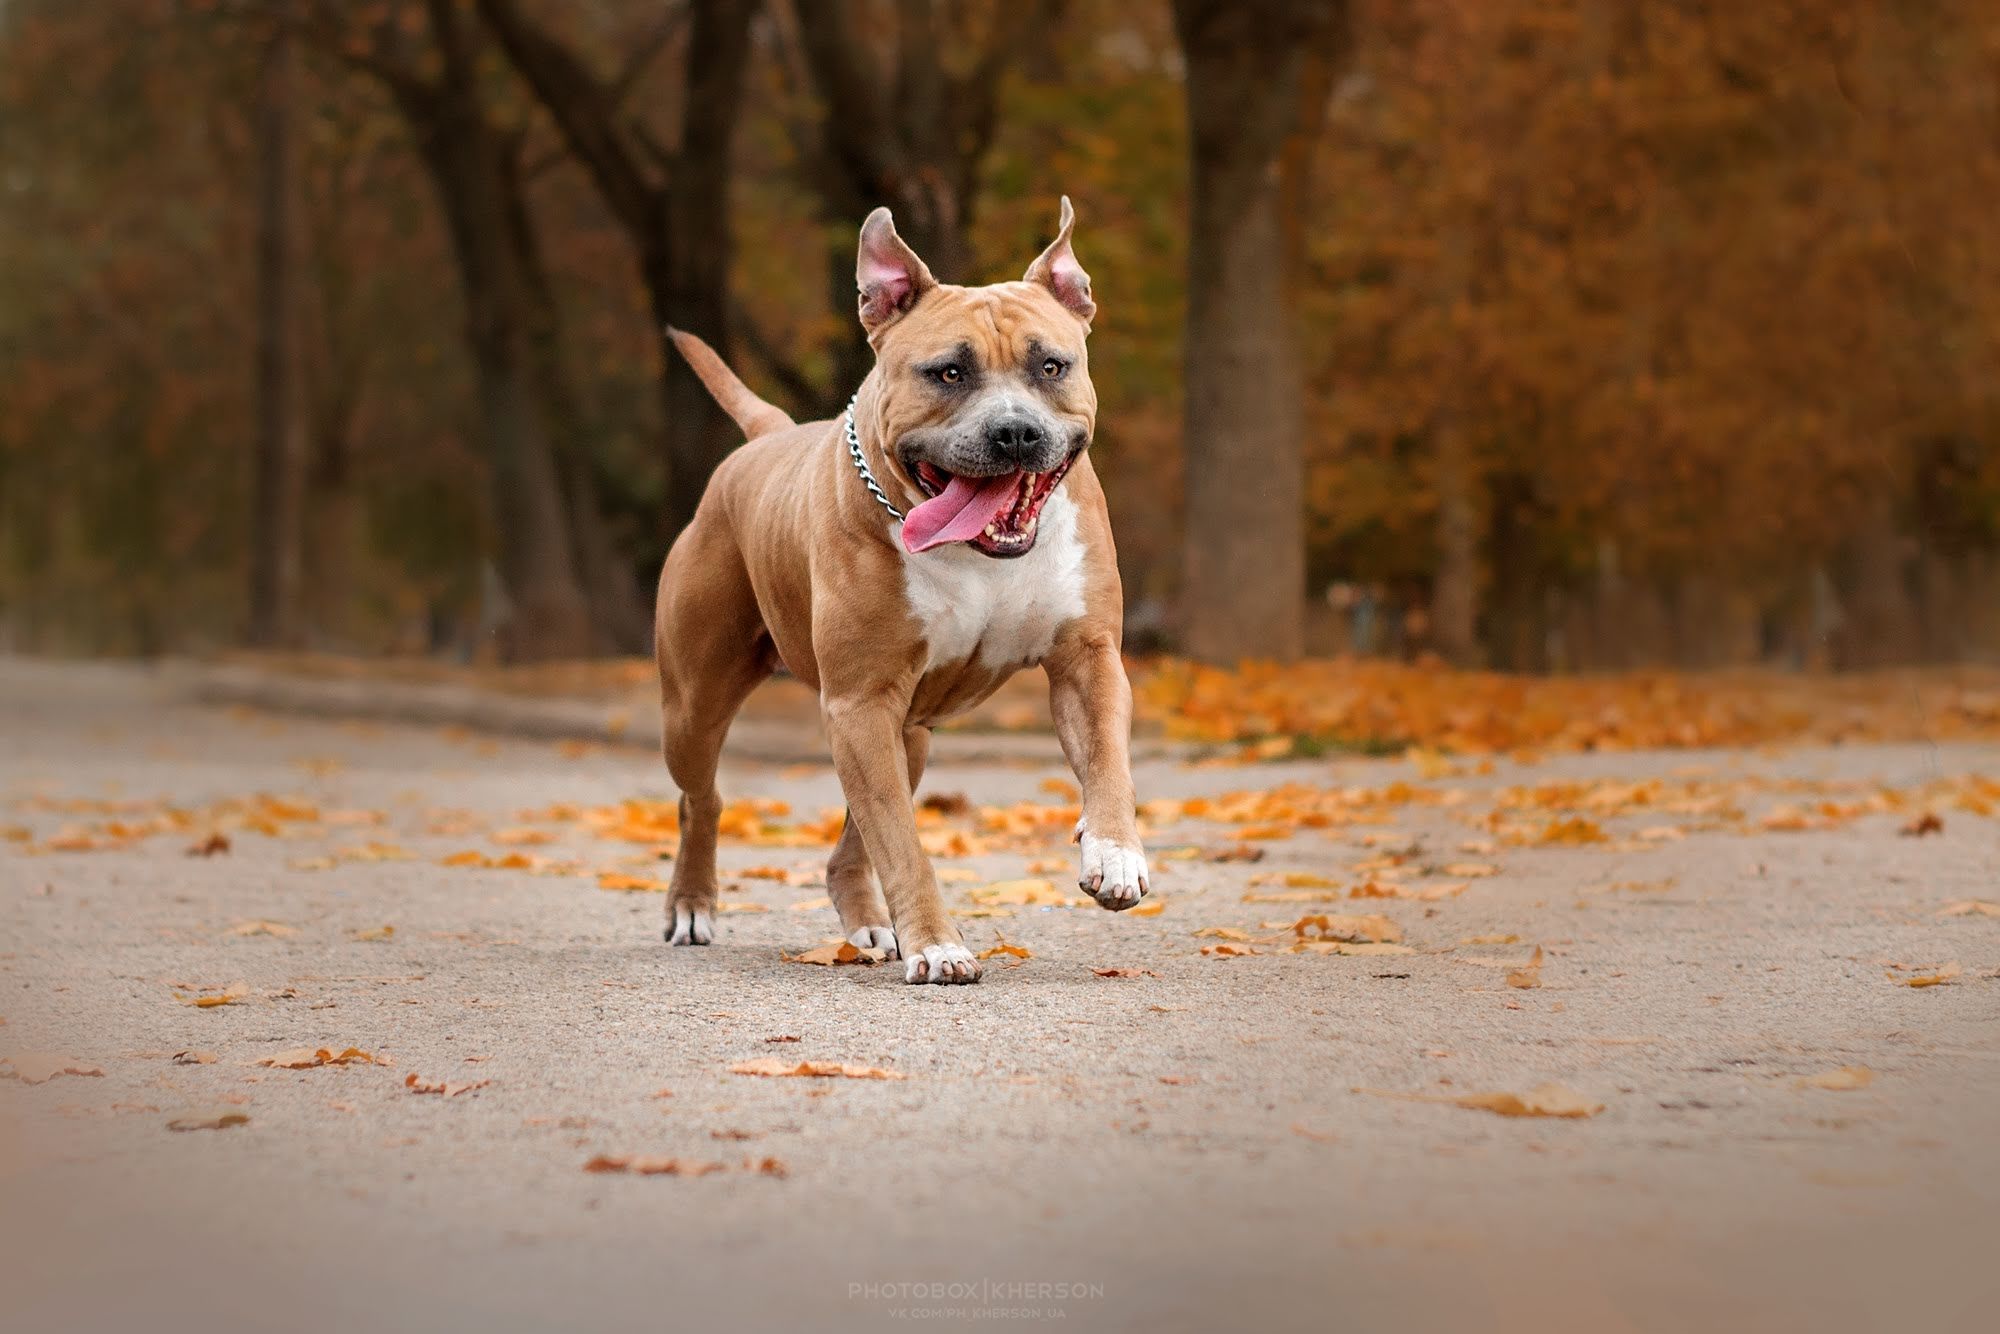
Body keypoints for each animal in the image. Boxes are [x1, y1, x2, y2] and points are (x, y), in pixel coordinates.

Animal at [656, 204, 1152, 988]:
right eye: (948, 372)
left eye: (1051, 366)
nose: (1016, 432)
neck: (980, 554)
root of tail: (766, 437)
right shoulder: (860, 702)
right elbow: (903, 843)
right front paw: (939, 946)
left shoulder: (1087, 659)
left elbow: (1106, 761)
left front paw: (1115, 854)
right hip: (698, 705)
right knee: (701, 799)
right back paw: (692, 904)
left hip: (907, 734)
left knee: (848, 845)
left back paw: (864, 924)